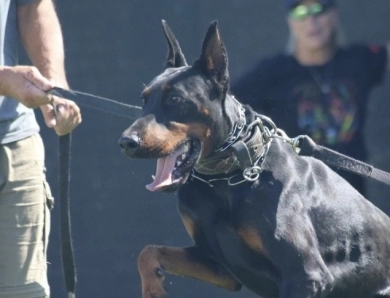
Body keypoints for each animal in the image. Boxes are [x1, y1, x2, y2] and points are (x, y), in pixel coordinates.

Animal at [118, 21, 390, 298]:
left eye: (175, 99)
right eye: (144, 99)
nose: (126, 142)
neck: (227, 176)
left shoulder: (305, 276)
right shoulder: (217, 265)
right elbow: (149, 252)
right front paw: (153, 289)